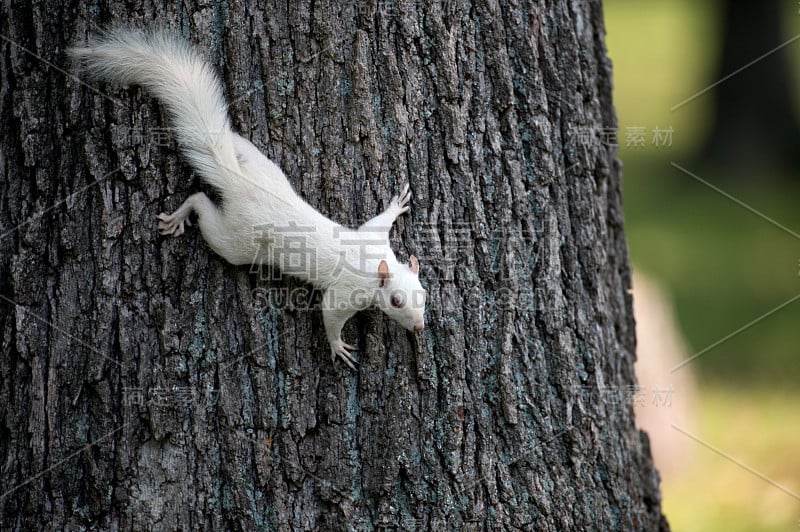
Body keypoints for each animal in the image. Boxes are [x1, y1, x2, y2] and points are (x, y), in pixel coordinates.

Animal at [70, 29, 424, 370]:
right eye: (396, 301)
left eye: (423, 293)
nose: (419, 326)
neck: (375, 265)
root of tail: (238, 183)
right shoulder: (348, 290)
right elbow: (330, 314)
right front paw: (338, 346)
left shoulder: (372, 236)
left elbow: (377, 221)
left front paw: (397, 205)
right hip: (234, 241)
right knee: (202, 203)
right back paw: (181, 214)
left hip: (261, 164)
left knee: (230, 146)